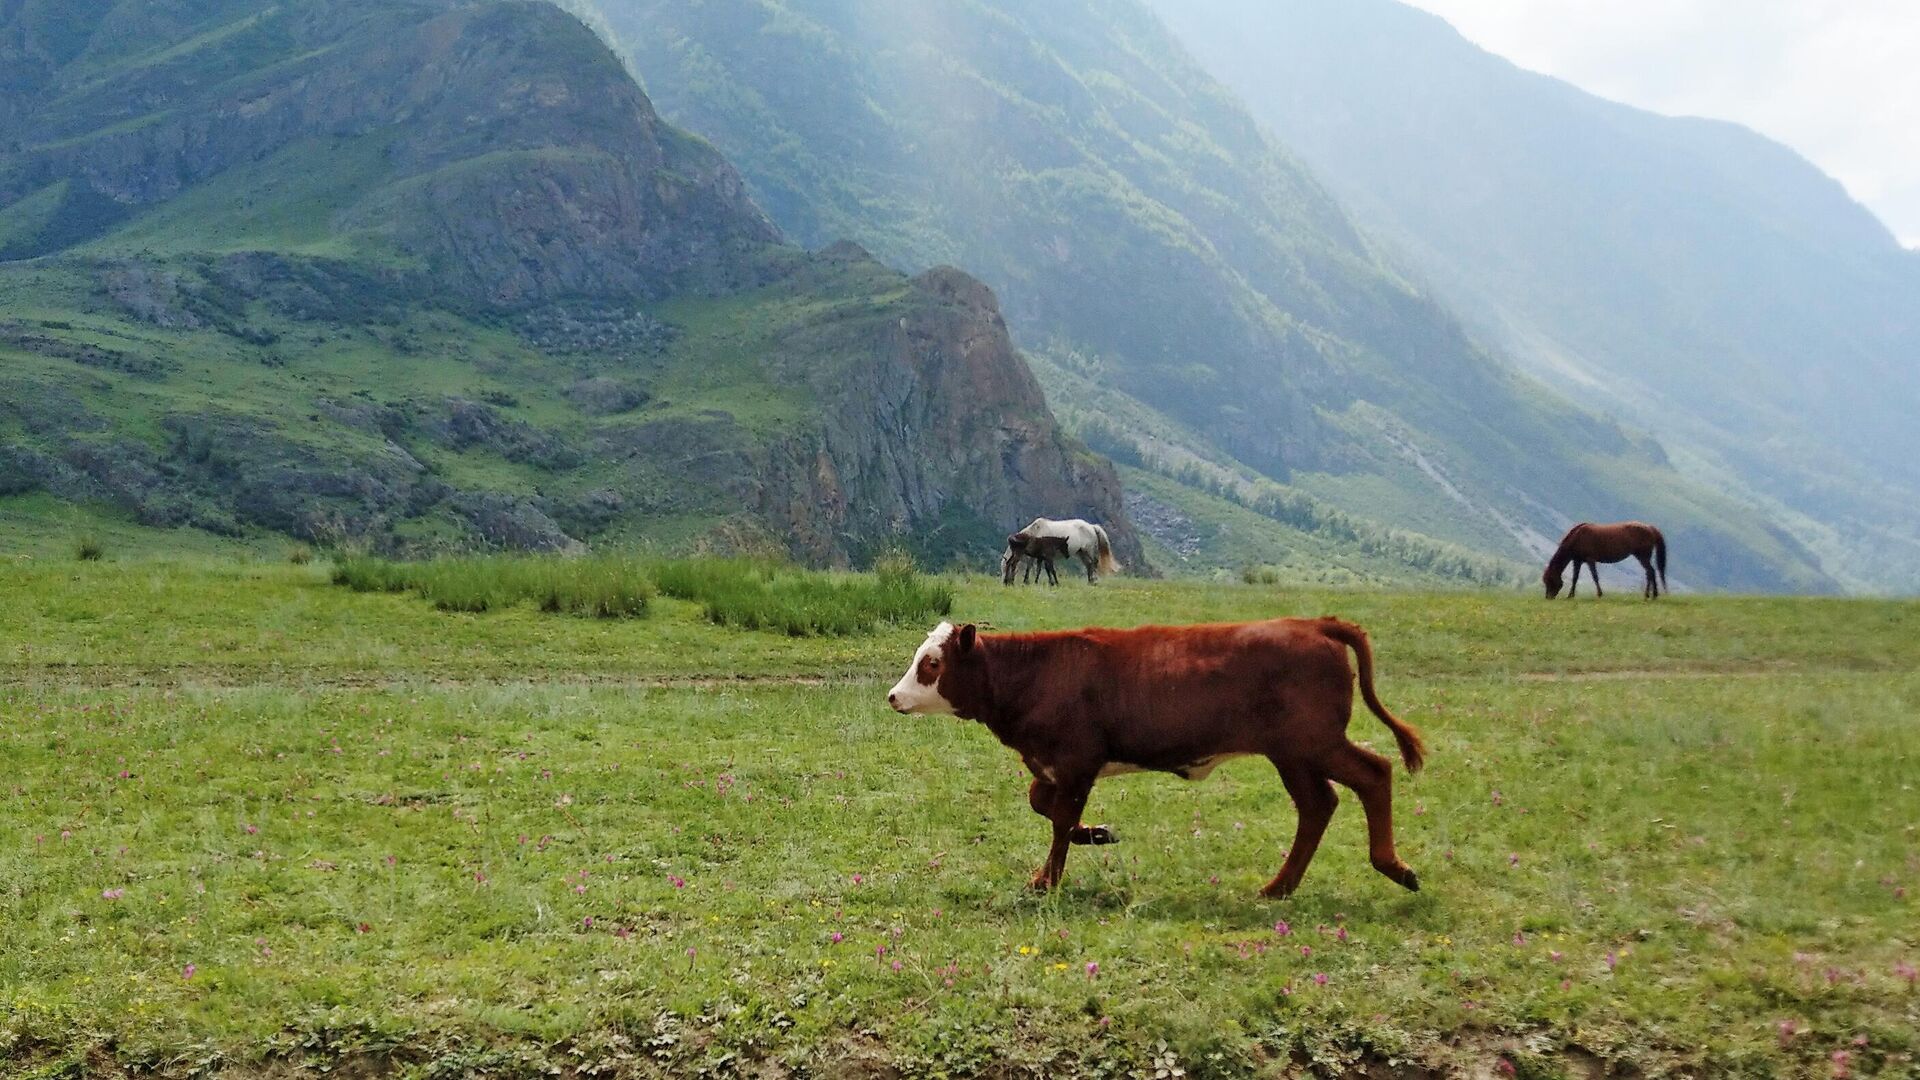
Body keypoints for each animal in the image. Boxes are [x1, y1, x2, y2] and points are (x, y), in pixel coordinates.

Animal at [887, 614, 1428, 891]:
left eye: (931, 663)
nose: (893, 696)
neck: (1037, 674)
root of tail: (1312, 624)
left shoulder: (1077, 761)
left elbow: (1059, 820)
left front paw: (1046, 879)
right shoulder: (1053, 765)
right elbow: (1043, 805)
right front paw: (1099, 834)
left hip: (1312, 742)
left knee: (1373, 773)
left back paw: (1392, 866)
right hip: (1294, 754)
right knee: (1319, 805)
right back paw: (1280, 886)